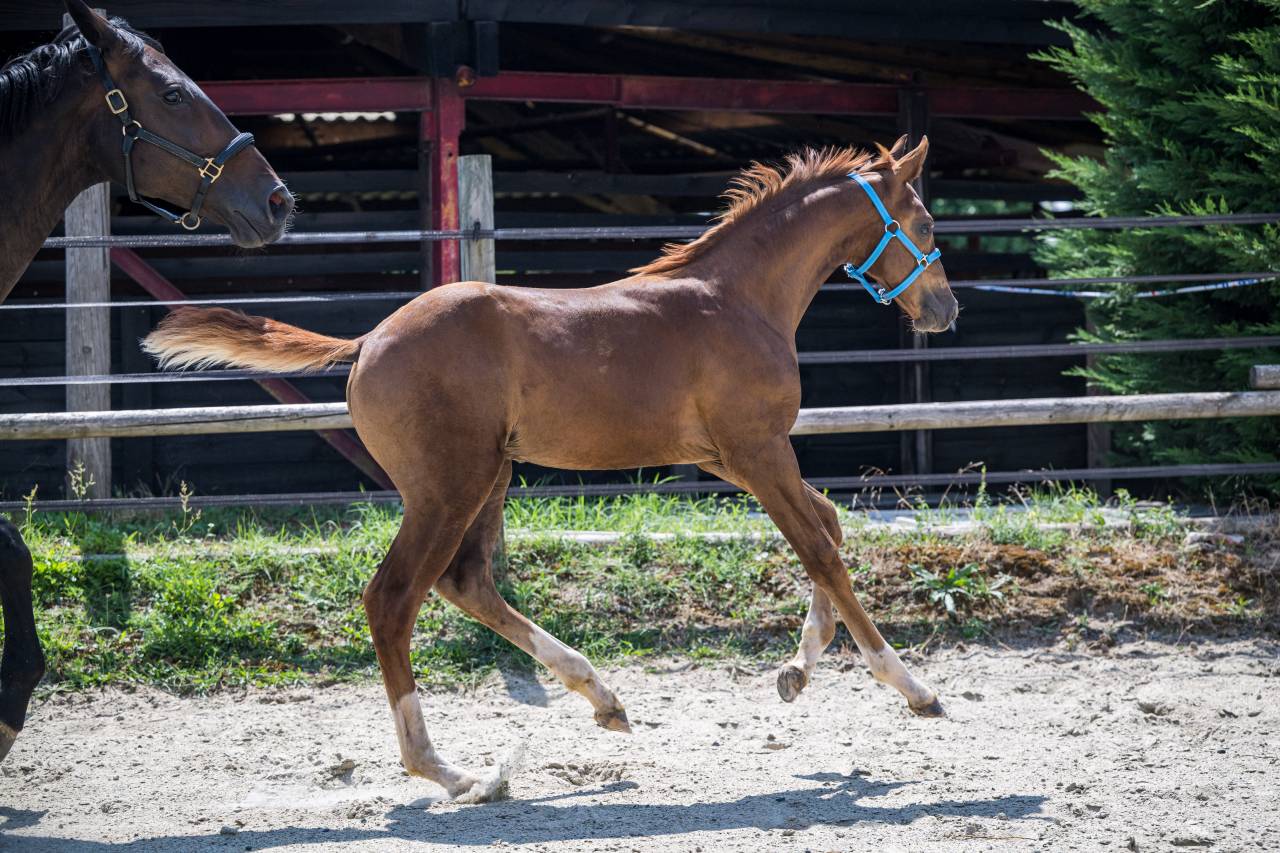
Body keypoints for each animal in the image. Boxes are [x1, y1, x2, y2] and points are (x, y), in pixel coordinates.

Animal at [143, 137, 960, 802]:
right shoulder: (759, 450)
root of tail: (369, 339)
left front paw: (796, 670)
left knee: (465, 581)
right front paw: (913, 687)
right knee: (394, 598)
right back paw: (451, 772)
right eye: (924, 227)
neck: (736, 299)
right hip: (448, 487)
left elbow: (828, 526)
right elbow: (820, 547)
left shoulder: (729, 458)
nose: (944, 310)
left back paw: (601, 698)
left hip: (489, 478)